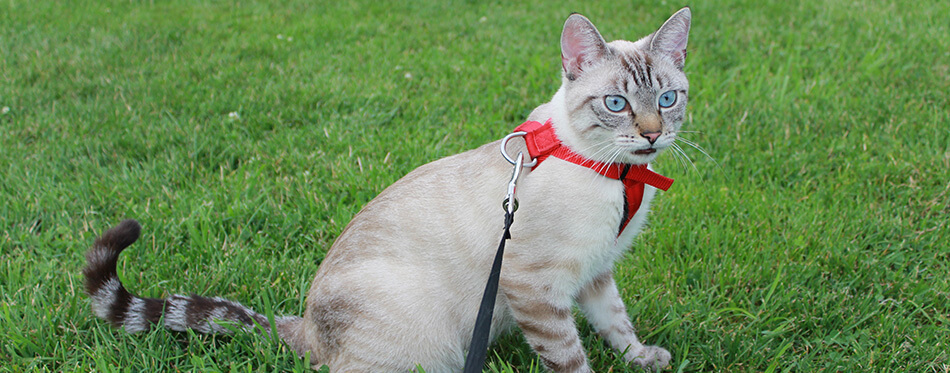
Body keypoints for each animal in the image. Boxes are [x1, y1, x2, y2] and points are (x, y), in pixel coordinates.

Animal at [83, 8, 692, 372]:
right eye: (616, 104)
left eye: (667, 99)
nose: (651, 135)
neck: (619, 176)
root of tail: (306, 330)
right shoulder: (535, 284)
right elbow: (569, 356)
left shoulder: (595, 271)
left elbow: (616, 324)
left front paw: (643, 358)